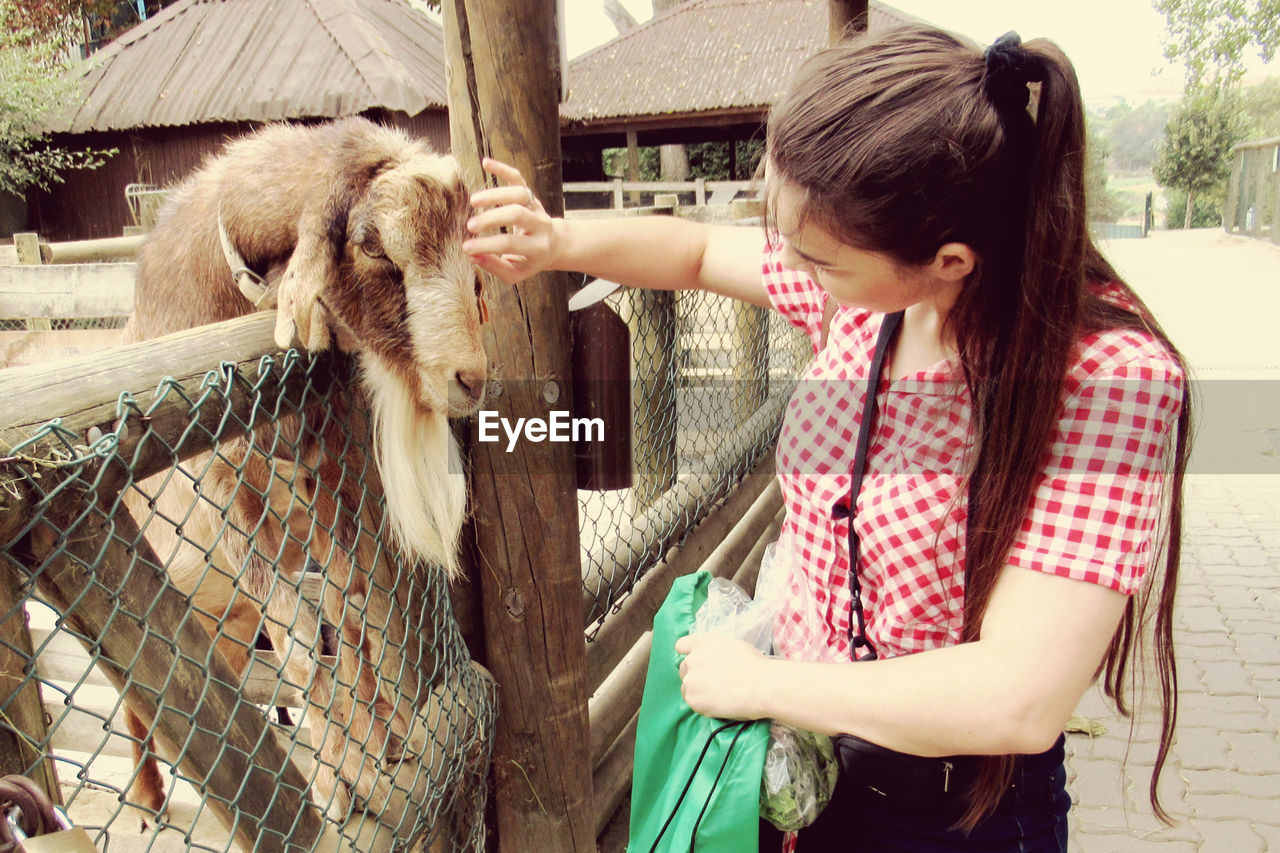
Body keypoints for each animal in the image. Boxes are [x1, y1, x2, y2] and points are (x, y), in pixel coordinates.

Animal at [120, 116, 488, 824]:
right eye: (372, 246)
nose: (470, 377)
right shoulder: (229, 491)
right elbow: (299, 641)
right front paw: (340, 783)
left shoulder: (327, 466)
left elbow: (348, 612)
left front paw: (382, 746)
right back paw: (149, 796)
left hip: (219, 613)